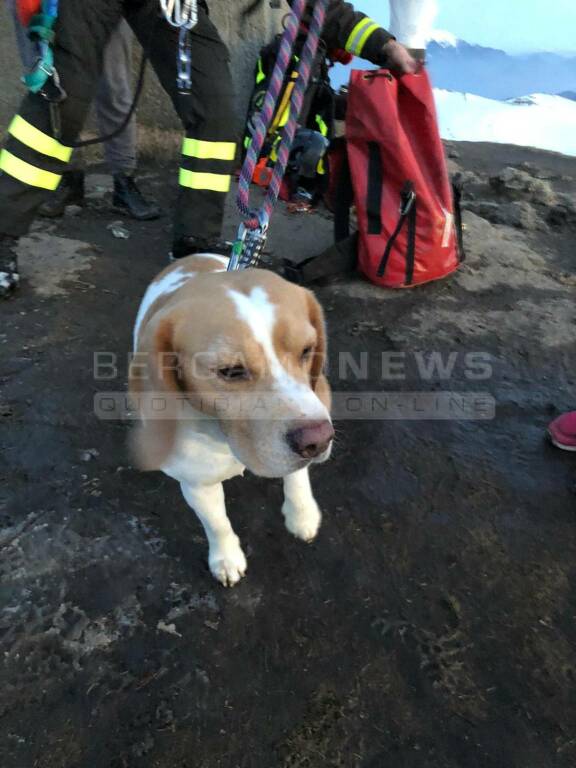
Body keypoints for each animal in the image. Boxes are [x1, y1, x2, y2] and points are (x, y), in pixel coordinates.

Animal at [127, 255, 330, 584]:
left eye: (307, 351)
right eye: (230, 371)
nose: (319, 440)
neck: (227, 437)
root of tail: (191, 258)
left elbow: (297, 476)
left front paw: (302, 513)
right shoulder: (197, 484)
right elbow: (217, 523)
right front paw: (225, 558)